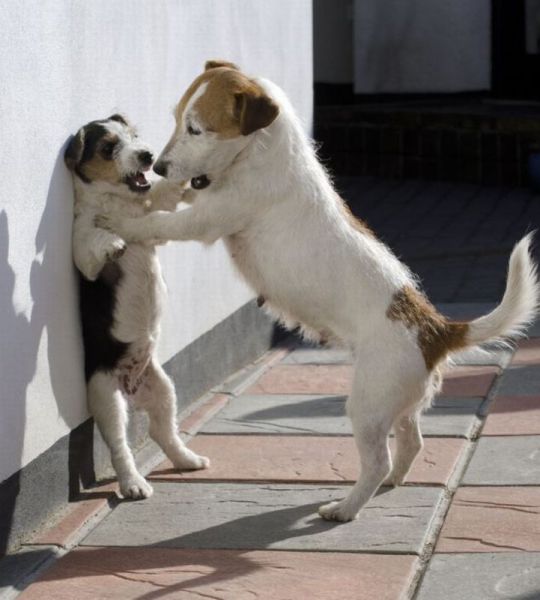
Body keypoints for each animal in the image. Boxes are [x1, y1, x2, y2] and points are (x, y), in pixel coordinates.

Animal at [65, 115, 209, 500]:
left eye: (135, 136)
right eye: (108, 148)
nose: (147, 156)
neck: (119, 202)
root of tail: (130, 386)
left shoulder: (151, 224)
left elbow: (160, 197)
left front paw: (179, 180)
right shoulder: (82, 251)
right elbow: (95, 239)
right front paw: (114, 242)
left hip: (162, 388)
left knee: (163, 431)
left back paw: (187, 459)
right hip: (106, 397)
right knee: (120, 446)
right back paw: (133, 483)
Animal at [95, 62, 536, 520]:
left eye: (197, 128)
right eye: (177, 118)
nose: (160, 167)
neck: (262, 152)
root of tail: (435, 329)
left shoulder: (211, 217)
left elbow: (160, 222)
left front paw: (117, 219)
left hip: (368, 403)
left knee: (377, 461)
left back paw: (346, 507)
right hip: (398, 401)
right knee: (412, 442)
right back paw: (393, 481)